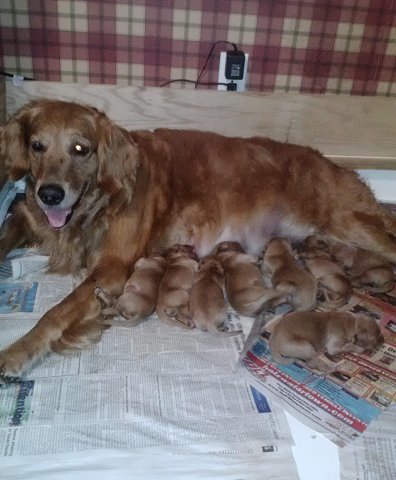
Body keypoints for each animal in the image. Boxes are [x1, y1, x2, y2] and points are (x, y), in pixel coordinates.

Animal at [0, 99, 396, 380]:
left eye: (81, 149)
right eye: (36, 146)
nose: (50, 195)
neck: (95, 205)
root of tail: (336, 165)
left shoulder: (111, 270)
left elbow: (54, 313)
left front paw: (17, 353)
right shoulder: (23, 213)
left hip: (348, 222)